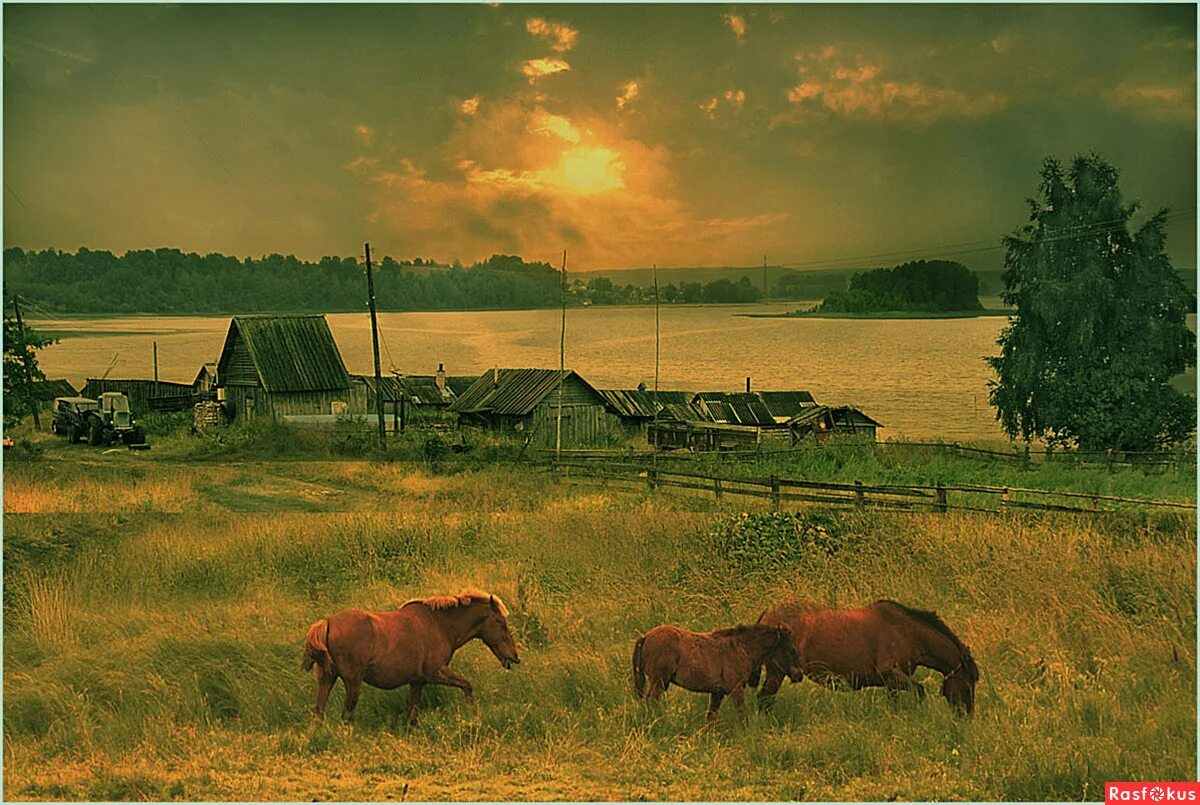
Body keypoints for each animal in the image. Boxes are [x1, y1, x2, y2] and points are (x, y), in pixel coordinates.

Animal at [302, 587, 518, 729]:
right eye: (500, 622)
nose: (514, 657)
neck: (440, 625)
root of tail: (328, 622)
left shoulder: (417, 682)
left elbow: (412, 714)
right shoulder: (435, 673)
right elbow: (467, 685)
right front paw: (472, 713)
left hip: (327, 679)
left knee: (319, 711)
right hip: (353, 682)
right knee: (346, 714)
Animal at [633, 623, 801, 724]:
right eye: (792, 650)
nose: (798, 675)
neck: (741, 648)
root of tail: (646, 636)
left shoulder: (717, 693)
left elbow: (711, 718)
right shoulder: (736, 689)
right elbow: (742, 715)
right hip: (659, 681)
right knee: (651, 700)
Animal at [753, 597, 979, 719]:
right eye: (967, 684)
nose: (967, 717)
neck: (906, 632)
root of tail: (767, 616)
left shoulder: (892, 682)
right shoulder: (891, 673)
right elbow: (920, 691)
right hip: (777, 672)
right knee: (764, 699)